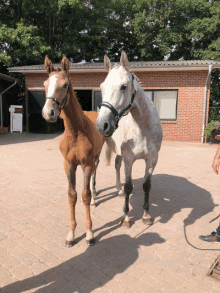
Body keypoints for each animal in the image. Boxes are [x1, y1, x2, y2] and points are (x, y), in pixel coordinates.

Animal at [42, 55, 104, 246]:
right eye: (45, 84)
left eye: (65, 85)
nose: (48, 113)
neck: (76, 132)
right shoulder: (69, 164)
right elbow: (72, 195)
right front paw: (71, 235)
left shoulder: (86, 163)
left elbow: (85, 195)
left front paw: (90, 234)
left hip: (96, 158)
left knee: (93, 178)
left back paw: (94, 200)